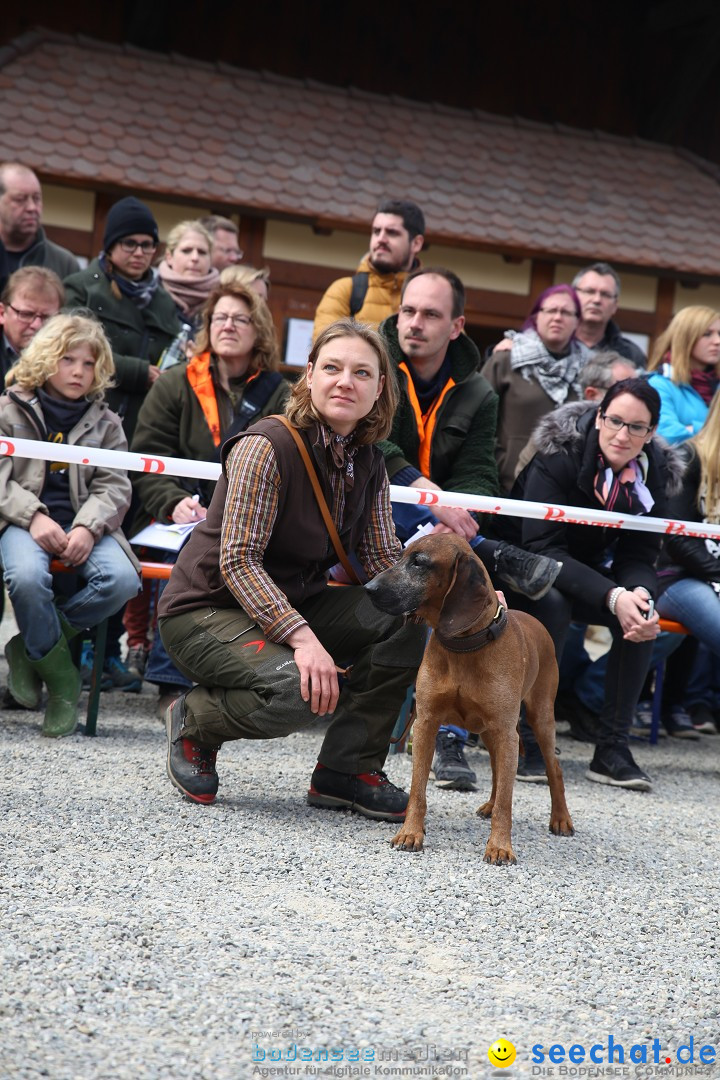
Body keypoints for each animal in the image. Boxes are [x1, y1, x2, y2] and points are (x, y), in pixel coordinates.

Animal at [367, 535, 574, 864]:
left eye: (419, 562)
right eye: (399, 556)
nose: (368, 587)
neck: (463, 647)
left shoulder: (506, 732)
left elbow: (507, 802)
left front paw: (500, 846)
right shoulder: (425, 724)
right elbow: (418, 790)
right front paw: (410, 833)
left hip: (539, 719)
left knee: (553, 769)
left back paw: (561, 819)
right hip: (491, 732)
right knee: (497, 770)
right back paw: (489, 805)